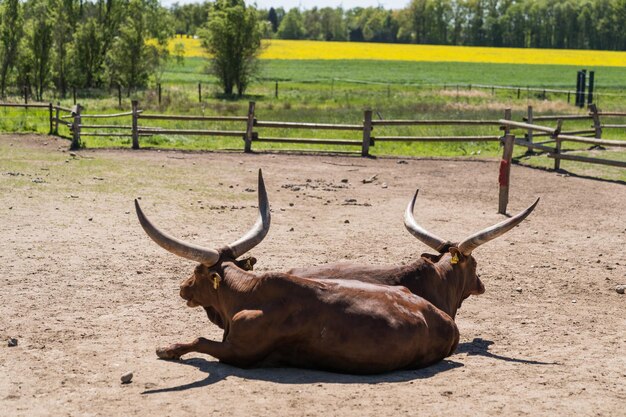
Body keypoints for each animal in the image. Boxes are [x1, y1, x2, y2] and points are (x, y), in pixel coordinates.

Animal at [135, 171, 458, 372]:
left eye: (196, 272)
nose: (182, 288)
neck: (245, 293)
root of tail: (448, 323)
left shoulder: (237, 352)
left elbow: (199, 341)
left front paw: (166, 349)